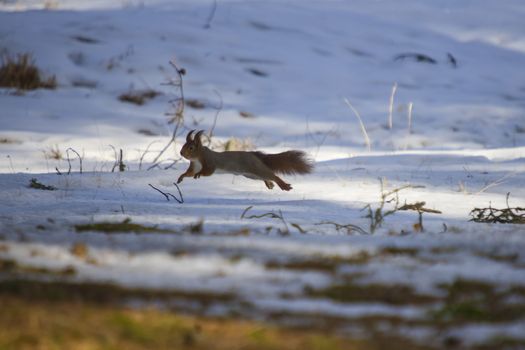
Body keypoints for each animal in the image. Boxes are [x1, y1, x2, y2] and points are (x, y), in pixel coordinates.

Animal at [178, 130, 314, 191]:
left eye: (191, 147)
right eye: (184, 145)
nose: (181, 153)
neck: (197, 158)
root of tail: (254, 155)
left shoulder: (210, 162)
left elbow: (208, 171)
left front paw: (199, 174)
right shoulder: (194, 166)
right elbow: (188, 173)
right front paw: (180, 177)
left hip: (256, 168)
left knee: (272, 175)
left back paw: (283, 185)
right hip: (251, 175)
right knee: (266, 177)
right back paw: (270, 184)